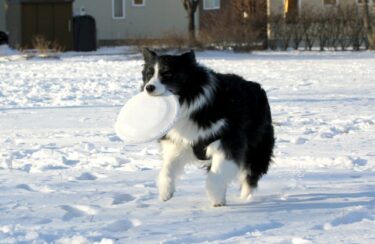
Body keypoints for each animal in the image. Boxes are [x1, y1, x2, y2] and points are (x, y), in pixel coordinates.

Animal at [142, 48, 274, 207]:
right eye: (149, 74)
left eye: (167, 73)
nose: (148, 88)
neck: (188, 101)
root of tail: (258, 87)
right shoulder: (177, 141)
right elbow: (167, 167)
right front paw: (165, 191)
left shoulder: (228, 140)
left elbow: (217, 173)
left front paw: (216, 198)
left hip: (257, 147)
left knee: (250, 175)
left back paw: (245, 198)